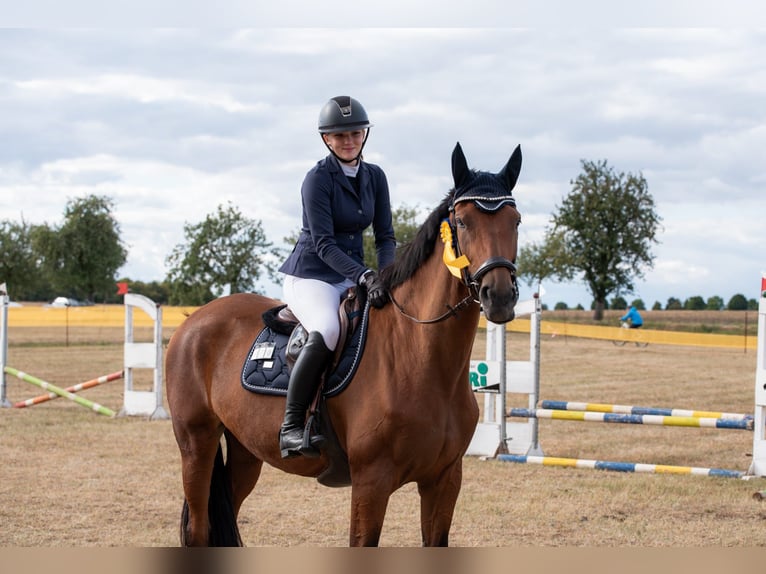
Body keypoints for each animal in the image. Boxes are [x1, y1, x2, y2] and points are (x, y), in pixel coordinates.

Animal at [165, 141, 523, 546]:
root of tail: (192, 320)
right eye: (462, 222)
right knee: (197, 529)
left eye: (515, 221)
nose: (499, 297)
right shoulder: (371, 482)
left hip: (245, 449)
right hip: (197, 442)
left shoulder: (444, 480)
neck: (421, 359)